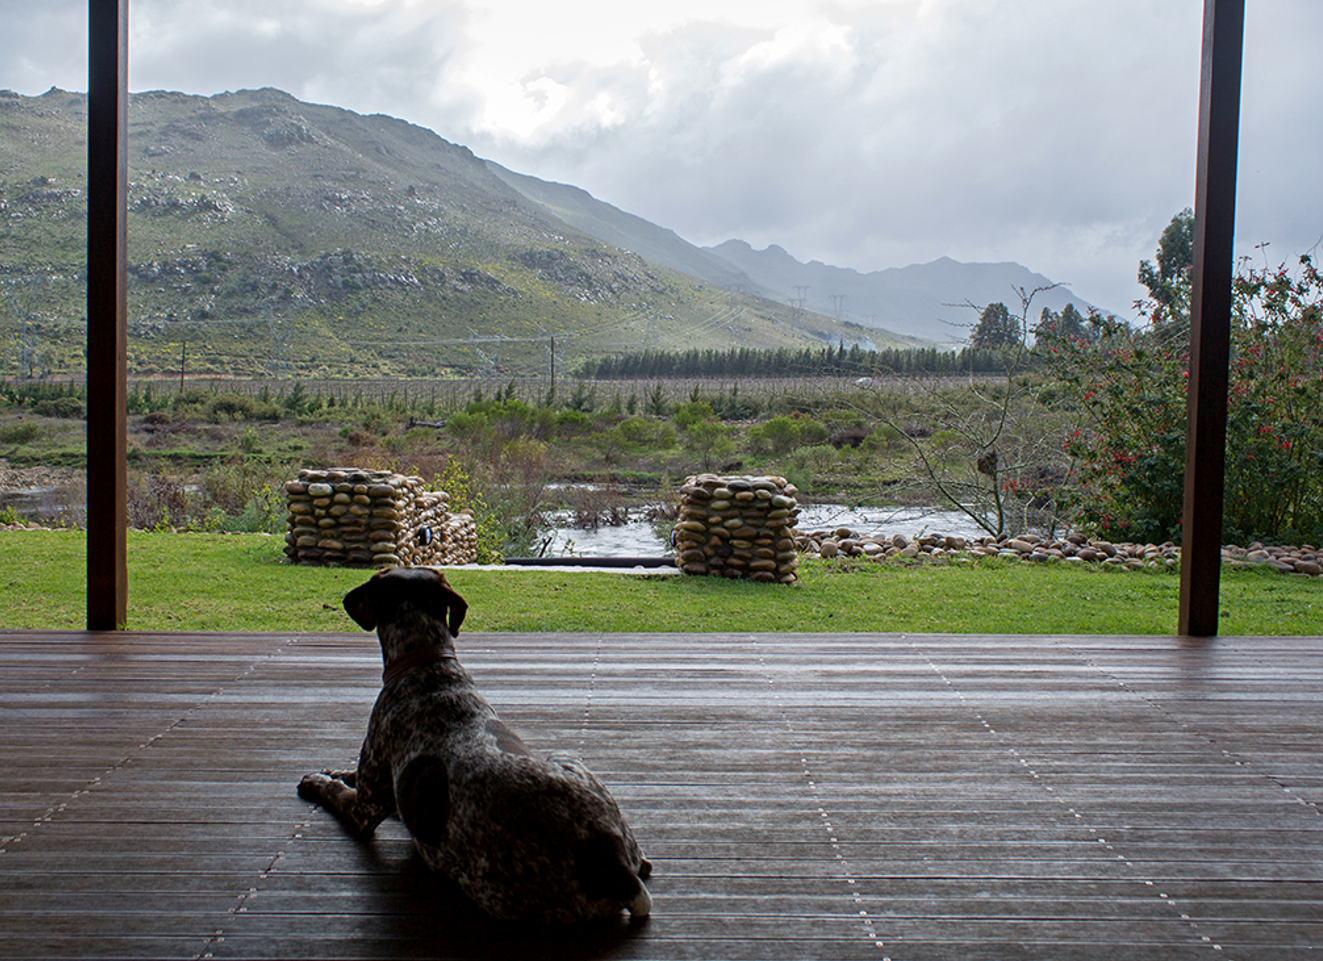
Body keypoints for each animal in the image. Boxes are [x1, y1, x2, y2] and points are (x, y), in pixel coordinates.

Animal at [297, 566, 652, 923]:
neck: (427, 667)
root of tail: (614, 866)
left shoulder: (364, 809)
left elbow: (336, 792)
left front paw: (317, 781)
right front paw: (337, 772)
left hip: (491, 889)